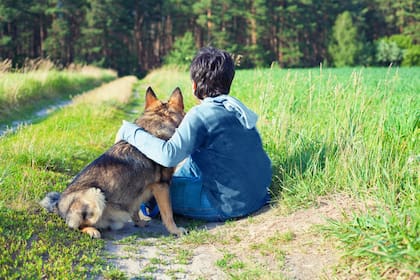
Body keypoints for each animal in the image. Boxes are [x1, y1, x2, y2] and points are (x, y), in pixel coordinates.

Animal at [40, 86, 185, 237]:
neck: (158, 121)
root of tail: (58, 205)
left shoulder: (138, 192)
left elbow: (135, 209)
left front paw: (139, 222)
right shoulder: (162, 186)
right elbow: (168, 214)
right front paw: (175, 231)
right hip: (95, 194)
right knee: (77, 225)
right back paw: (92, 230)